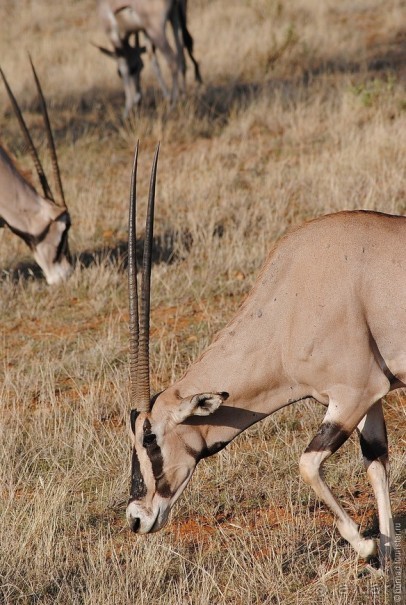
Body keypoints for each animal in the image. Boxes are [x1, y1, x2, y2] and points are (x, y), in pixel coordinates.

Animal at [126, 145, 402, 568]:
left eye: (151, 438)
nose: (135, 519)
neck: (286, 304)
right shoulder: (368, 398)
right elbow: (375, 464)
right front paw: (386, 557)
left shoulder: (355, 392)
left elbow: (307, 464)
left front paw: (365, 545)